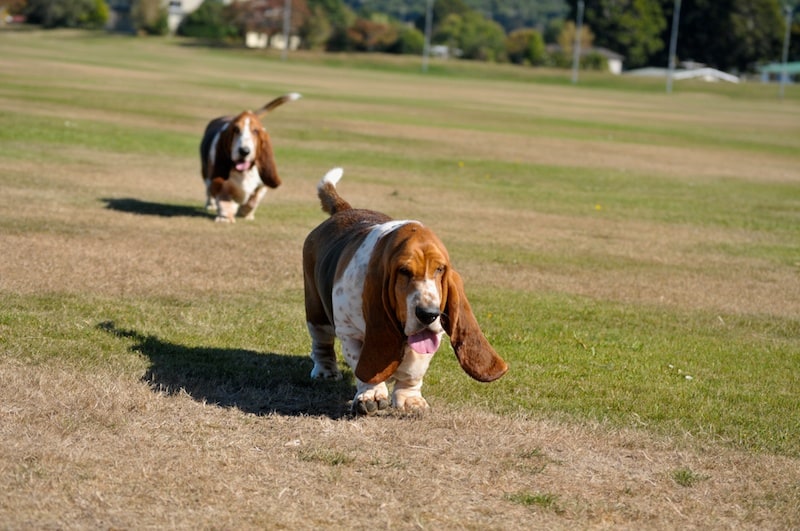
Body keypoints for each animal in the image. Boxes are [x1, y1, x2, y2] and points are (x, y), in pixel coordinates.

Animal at [198, 93, 302, 222]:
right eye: (236, 130)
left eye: (256, 131)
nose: (244, 151)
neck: (244, 172)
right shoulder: (221, 184)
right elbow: (225, 200)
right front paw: (225, 218)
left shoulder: (262, 185)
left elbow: (253, 201)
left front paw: (246, 214)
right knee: (209, 191)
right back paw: (210, 205)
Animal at [300, 167, 506, 416]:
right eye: (404, 271)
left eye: (440, 269)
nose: (428, 314)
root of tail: (345, 210)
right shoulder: (350, 331)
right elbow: (361, 364)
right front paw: (371, 394)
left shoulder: (432, 334)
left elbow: (413, 369)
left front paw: (410, 399)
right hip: (316, 312)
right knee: (321, 342)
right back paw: (326, 372)